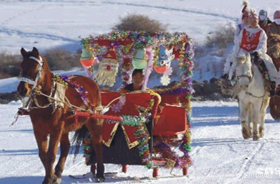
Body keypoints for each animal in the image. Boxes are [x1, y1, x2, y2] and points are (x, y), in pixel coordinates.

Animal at [17, 47, 105, 183]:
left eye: (35, 67)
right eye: (21, 66)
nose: (22, 90)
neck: (48, 101)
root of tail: (91, 81)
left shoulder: (56, 130)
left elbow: (51, 155)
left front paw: (49, 178)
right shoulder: (39, 131)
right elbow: (43, 155)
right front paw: (52, 176)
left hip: (94, 121)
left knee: (97, 144)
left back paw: (100, 173)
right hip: (65, 128)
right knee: (66, 147)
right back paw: (58, 171)